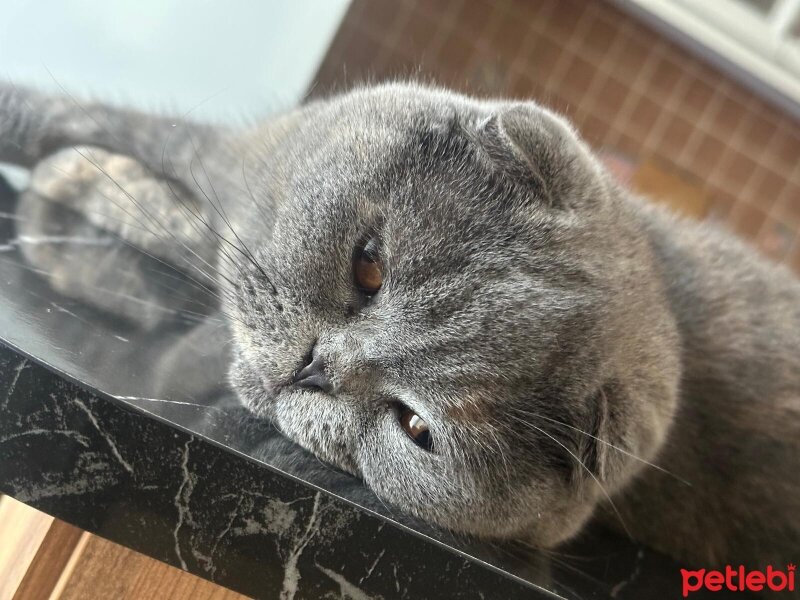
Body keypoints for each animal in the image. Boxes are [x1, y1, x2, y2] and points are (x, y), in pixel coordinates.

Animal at [1, 81, 800, 572]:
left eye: (417, 428)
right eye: (370, 268)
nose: (317, 367)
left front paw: (80, 197)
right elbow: (53, 119)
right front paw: (87, 187)